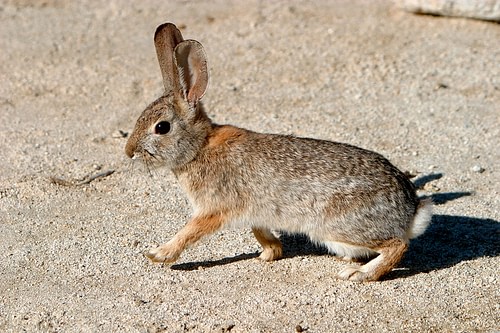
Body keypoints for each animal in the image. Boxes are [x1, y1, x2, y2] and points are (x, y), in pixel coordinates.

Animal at [123, 22, 432, 280]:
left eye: (161, 127)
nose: (129, 151)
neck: (199, 148)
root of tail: (411, 212)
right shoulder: (254, 212)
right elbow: (260, 230)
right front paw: (270, 253)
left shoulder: (213, 209)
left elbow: (189, 232)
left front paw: (159, 254)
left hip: (338, 227)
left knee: (397, 245)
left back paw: (360, 274)